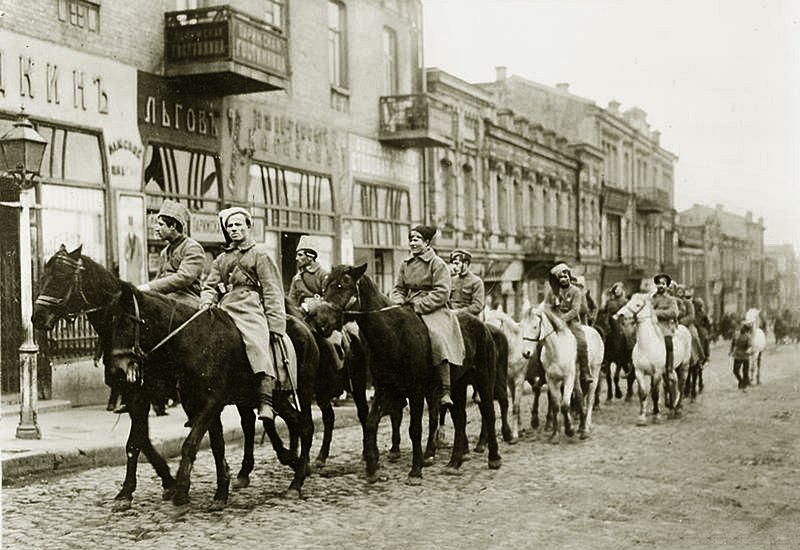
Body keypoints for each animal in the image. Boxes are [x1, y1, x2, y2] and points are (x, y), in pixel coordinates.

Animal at [107, 284, 318, 512]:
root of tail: (305, 327)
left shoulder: (212, 403)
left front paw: (181, 490)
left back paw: (296, 483)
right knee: (295, 424)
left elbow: (190, 444)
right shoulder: (196, 404)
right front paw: (220, 492)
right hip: (277, 398)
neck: (194, 342)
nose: (115, 372)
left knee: (306, 426)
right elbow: (216, 445)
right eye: (109, 323)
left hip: (303, 392)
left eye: (127, 322)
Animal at [308, 264, 500, 484]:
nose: (318, 321)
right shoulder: (384, 389)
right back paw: (454, 462)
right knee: (460, 419)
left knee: (488, 412)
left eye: (342, 285)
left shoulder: (415, 391)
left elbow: (415, 429)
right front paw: (372, 468)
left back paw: (493, 458)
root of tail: (483, 326)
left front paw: (415, 471)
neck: (394, 334)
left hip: (484, 380)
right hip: (458, 385)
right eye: (325, 286)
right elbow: (371, 423)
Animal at [616, 294, 692, 426]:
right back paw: (671, 410)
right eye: (629, 301)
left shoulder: (657, 373)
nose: (620, 315)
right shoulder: (639, 372)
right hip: (668, 372)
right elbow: (643, 393)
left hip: (683, 366)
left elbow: (655, 394)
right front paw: (642, 418)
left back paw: (678, 410)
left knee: (681, 386)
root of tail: (684, 328)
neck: (647, 344)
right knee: (671, 385)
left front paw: (656, 416)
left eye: (637, 305)